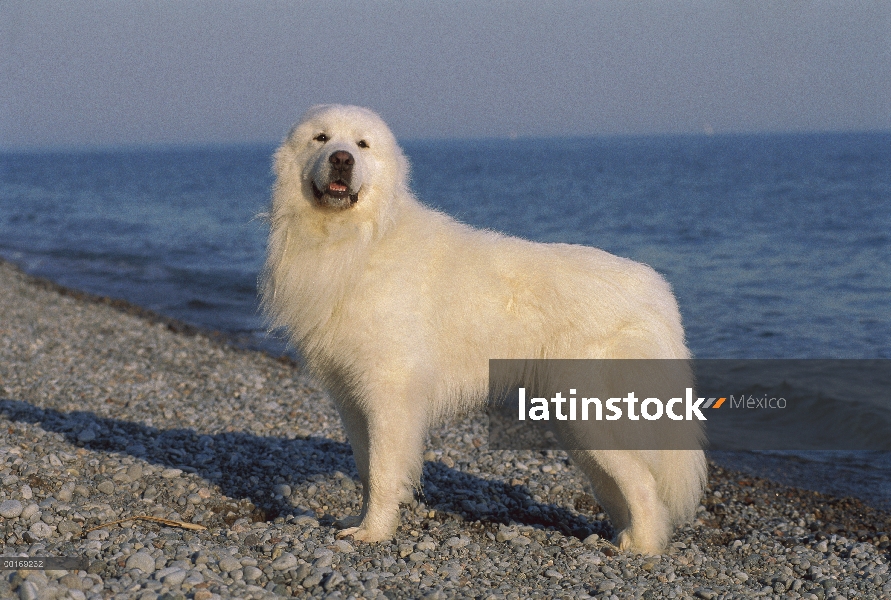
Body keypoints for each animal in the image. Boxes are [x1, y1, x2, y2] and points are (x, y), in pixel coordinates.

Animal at [262, 104, 708, 552]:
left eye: (362, 144)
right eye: (321, 138)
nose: (342, 159)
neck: (361, 238)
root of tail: (656, 290)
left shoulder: (390, 394)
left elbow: (384, 473)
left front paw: (374, 533)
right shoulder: (352, 399)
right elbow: (366, 468)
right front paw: (362, 521)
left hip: (589, 415)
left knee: (643, 485)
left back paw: (641, 548)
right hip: (573, 424)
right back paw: (621, 536)